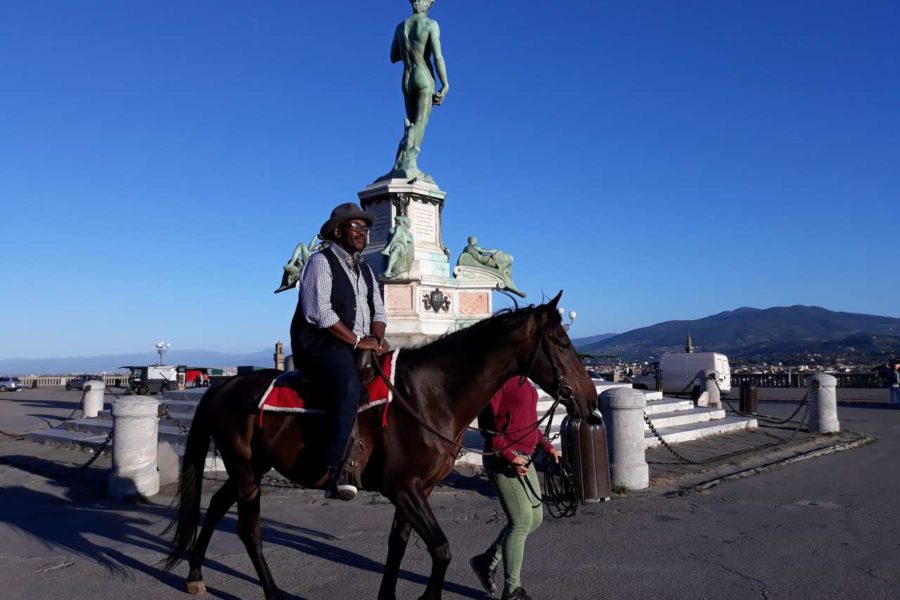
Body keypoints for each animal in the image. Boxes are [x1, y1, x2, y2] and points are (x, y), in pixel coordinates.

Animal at [163, 292, 596, 600]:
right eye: (560, 342)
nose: (591, 401)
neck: (431, 394)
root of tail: (225, 385)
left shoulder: (417, 490)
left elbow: (398, 546)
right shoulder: (403, 488)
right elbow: (441, 549)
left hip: (250, 467)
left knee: (218, 505)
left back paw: (196, 574)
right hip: (247, 470)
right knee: (249, 529)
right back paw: (271, 593)